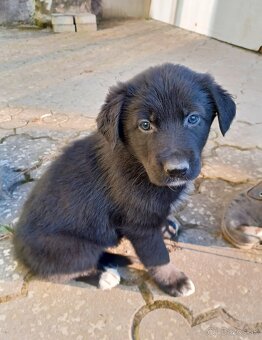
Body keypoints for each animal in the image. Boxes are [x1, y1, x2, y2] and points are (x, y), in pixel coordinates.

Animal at [13, 63, 236, 294]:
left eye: (193, 118)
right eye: (145, 125)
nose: (176, 170)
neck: (136, 162)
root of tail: (17, 247)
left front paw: (166, 226)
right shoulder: (138, 226)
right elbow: (158, 256)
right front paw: (172, 280)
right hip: (70, 247)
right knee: (65, 269)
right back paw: (103, 277)